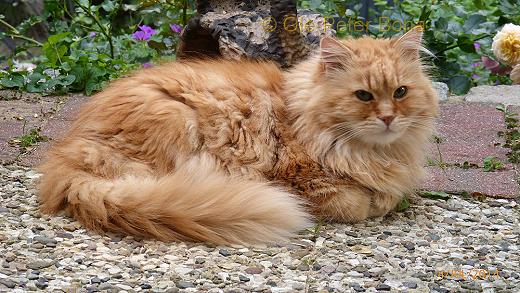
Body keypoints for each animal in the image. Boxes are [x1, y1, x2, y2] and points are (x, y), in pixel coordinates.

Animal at [36, 27, 436, 243]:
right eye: (363, 96)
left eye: (400, 92)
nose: (388, 118)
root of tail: (69, 161)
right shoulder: (300, 177)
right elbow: (357, 203)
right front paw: (373, 200)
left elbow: (389, 194)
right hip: (178, 127)